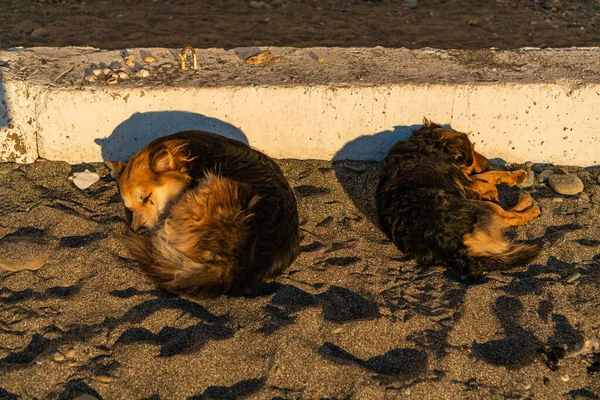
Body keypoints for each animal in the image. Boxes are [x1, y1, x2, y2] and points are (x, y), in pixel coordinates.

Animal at [378, 117, 540, 276]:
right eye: (472, 149)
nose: (488, 163)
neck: (427, 144)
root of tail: (447, 245)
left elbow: (489, 175)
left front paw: (514, 176)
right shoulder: (465, 181)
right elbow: (489, 179)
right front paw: (498, 187)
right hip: (482, 207)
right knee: (510, 218)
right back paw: (528, 205)